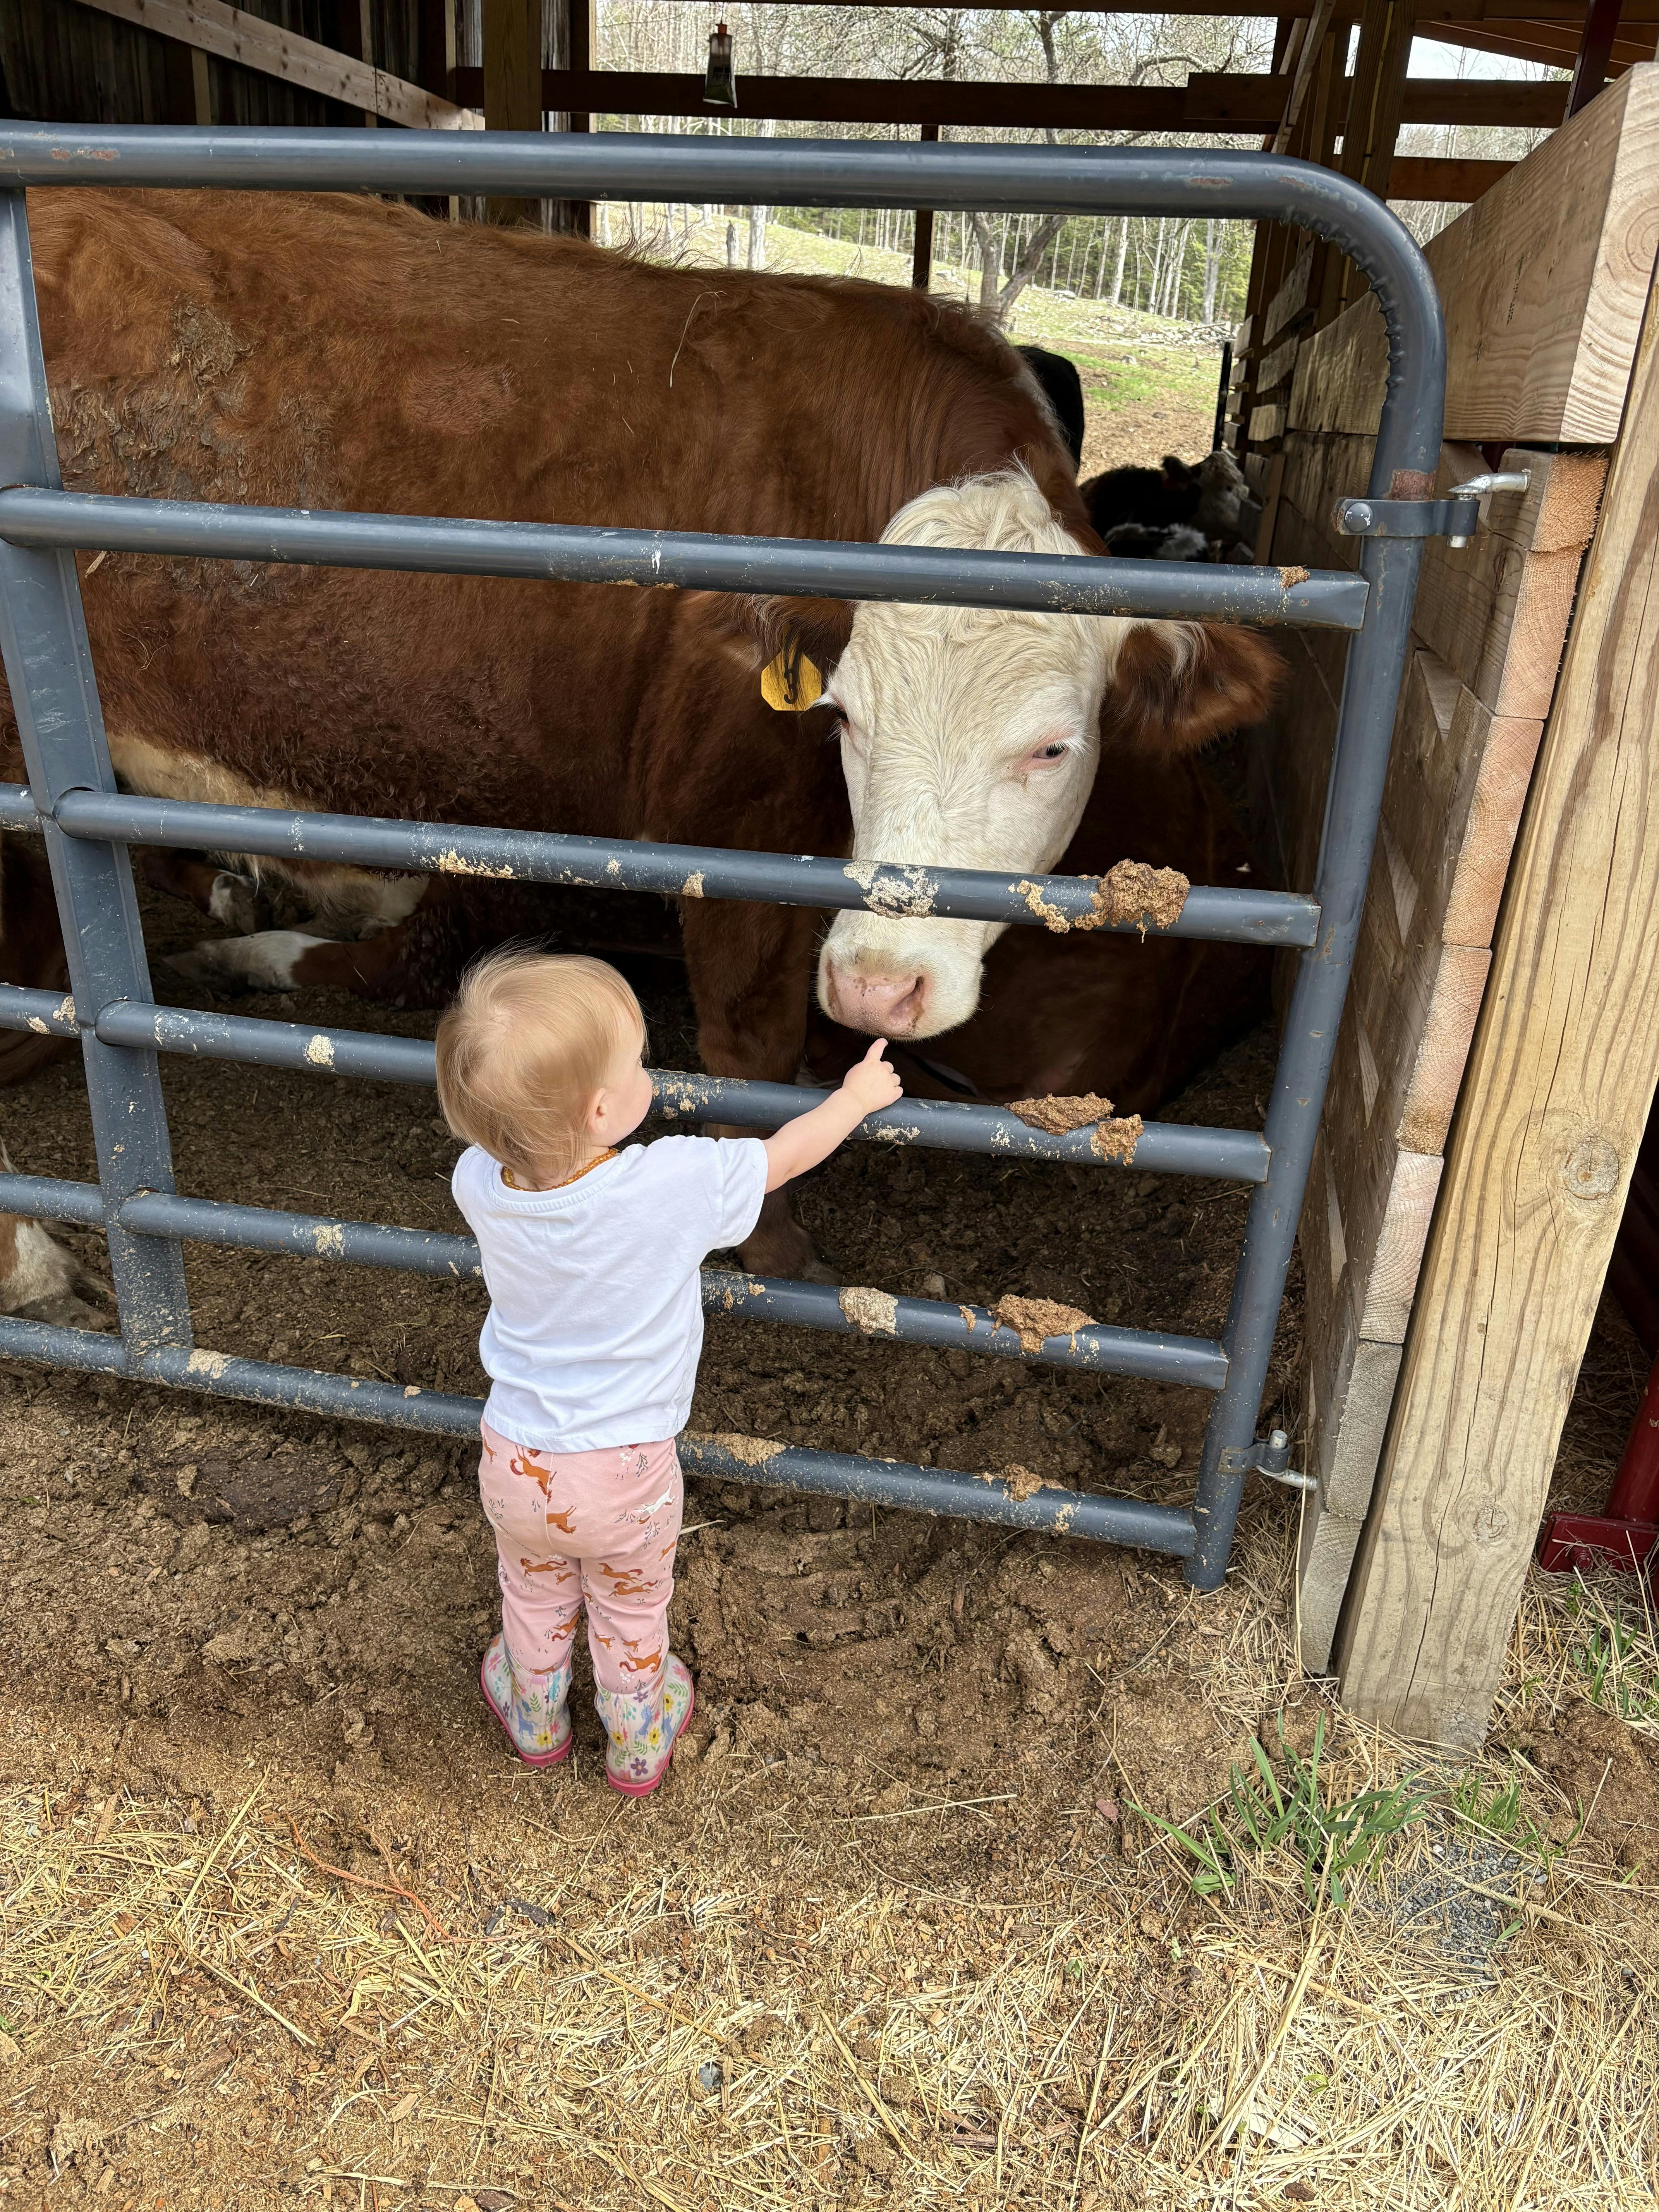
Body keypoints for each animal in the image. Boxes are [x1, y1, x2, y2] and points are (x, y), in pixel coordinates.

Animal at [0, 185, 1277, 1309]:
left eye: (1054, 747)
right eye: (844, 716)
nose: (883, 981)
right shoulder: (731, 823)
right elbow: (750, 1047)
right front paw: (774, 1242)